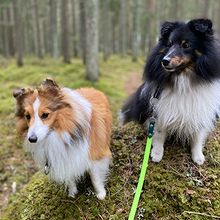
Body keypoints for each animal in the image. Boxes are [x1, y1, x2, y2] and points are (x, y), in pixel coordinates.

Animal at [119, 18, 220, 164]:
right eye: (169, 44)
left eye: (186, 45)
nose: (164, 61)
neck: (183, 76)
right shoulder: (160, 109)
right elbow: (159, 132)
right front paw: (156, 153)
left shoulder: (200, 109)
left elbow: (198, 135)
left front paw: (198, 156)